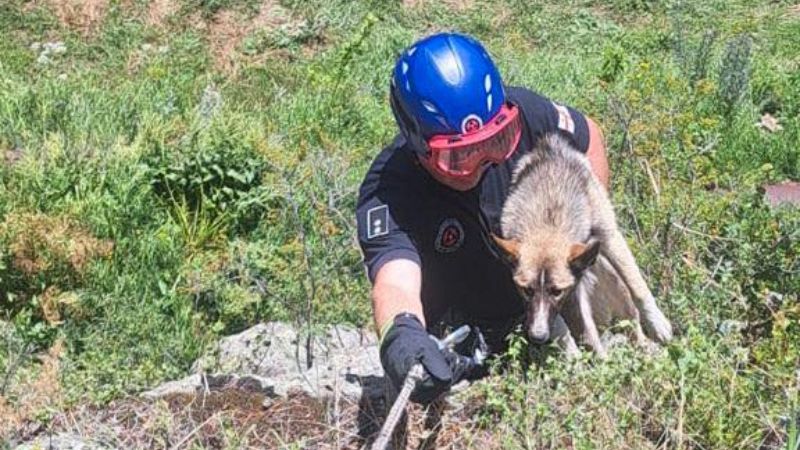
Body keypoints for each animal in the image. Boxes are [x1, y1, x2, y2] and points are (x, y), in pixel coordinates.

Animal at [490, 132, 672, 356]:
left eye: (556, 291)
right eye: (527, 290)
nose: (538, 336)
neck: (549, 214)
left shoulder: (610, 238)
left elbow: (638, 287)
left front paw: (657, 322)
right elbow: (568, 331)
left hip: (609, 277)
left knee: (631, 325)